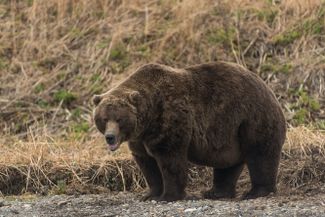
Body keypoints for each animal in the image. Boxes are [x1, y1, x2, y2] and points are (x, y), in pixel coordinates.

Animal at [92, 61, 286, 202]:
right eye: (104, 119)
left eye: (119, 119)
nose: (110, 137)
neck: (148, 119)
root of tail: (269, 89)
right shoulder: (140, 139)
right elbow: (147, 164)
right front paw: (150, 194)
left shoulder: (170, 119)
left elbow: (171, 160)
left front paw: (168, 196)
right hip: (230, 135)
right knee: (228, 164)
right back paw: (215, 192)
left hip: (251, 118)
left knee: (260, 155)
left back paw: (256, 191)